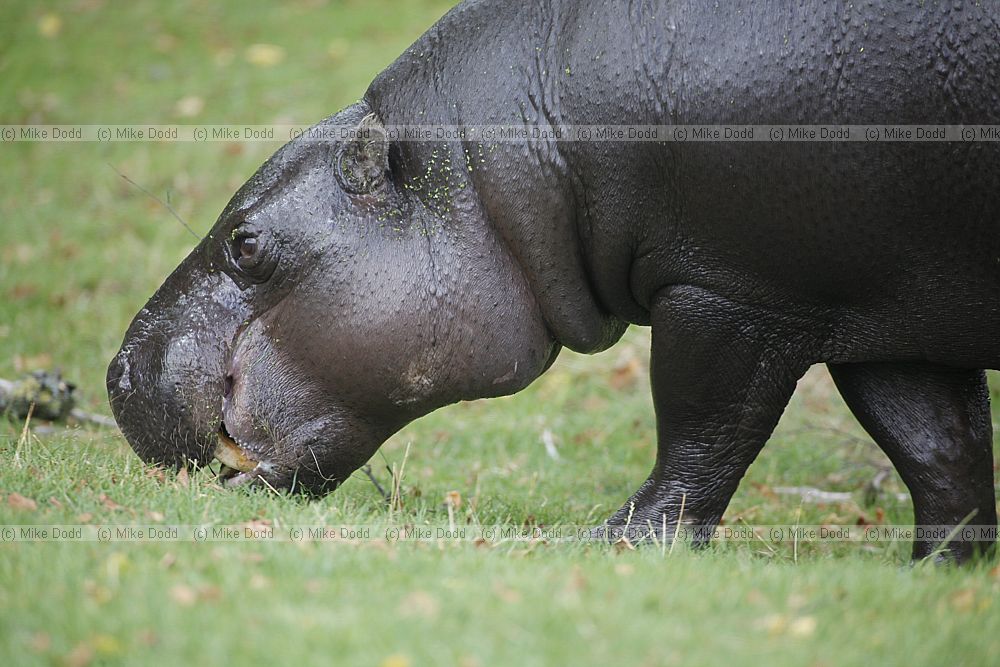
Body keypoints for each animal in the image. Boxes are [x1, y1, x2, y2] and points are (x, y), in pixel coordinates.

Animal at [108, 0, 999, 562]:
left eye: (246, 244)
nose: (115, 374)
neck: (485, 163)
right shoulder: (887, 319)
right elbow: (940, 449)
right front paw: (935, 574)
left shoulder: (731, 292)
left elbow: (704, 428)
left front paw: (613, 547)